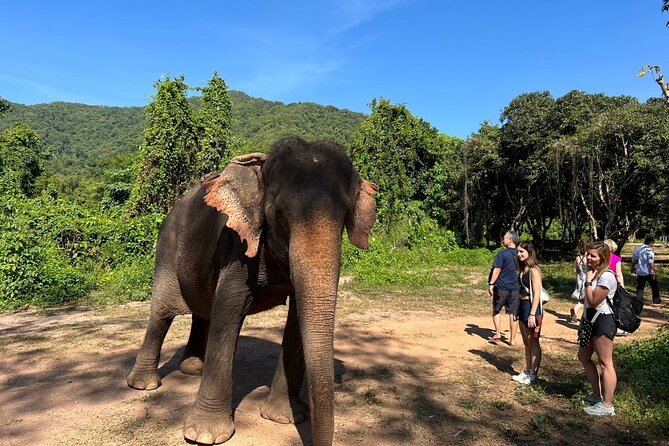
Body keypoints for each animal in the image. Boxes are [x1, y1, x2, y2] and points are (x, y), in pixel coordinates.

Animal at [126, 137, 379, 446]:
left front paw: (284, 418)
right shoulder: (236, 246)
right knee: (161, 313)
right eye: (279, 213)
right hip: (166, 250)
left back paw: (193, 368)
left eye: (345, 216)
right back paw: (143, 384)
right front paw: (204, 435)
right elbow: (228, 311)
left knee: (202, 311)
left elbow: (297, 318)